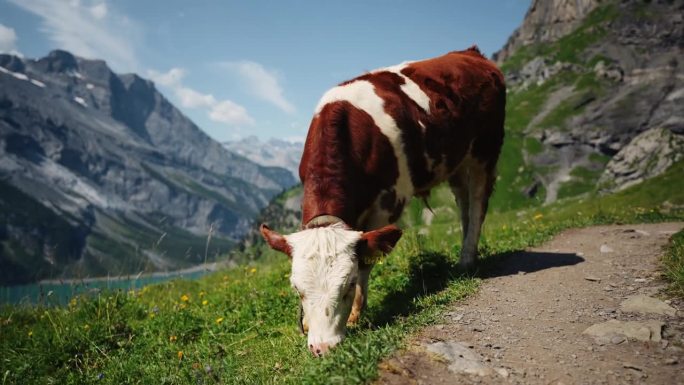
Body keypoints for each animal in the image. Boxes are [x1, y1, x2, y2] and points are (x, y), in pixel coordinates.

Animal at [260, 46, 504, 356]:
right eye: (297, 289)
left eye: (348, 284)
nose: (323, 347)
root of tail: (470, 53)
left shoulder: (389, 202)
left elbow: (367, 258)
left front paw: (356, 313)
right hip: (456, 162)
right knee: (464, 206)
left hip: (486, 149)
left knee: (478, 202)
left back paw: (467, 259)